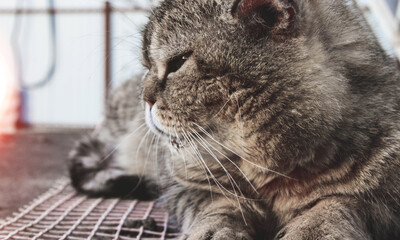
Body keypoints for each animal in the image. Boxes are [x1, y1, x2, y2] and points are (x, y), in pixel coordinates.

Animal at [69, 0, 400, 238]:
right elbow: (220, 208)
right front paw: (214, 230)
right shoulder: (187, 186)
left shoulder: (380, 202)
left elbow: (331, 206)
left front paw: (313, 229)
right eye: (146, 65)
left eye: (178, 63)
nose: (145, 98)